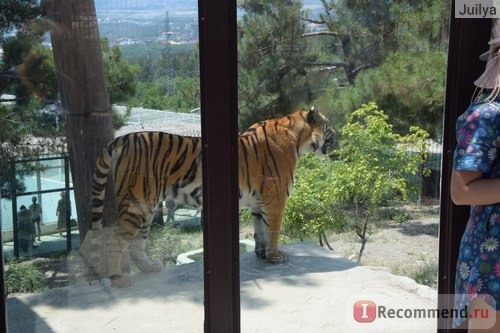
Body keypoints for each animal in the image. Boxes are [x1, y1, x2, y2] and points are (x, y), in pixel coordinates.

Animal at [82, 106, 336, 286]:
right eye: (329, 128)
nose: (338, 138)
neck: (299, 138)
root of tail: (121, 139)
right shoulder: (276, 200)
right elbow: (273, 231)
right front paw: (275, 256)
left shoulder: (258, 203)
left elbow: (260, 231)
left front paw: (262, 255)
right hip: (137, 204)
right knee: (115, 241)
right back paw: (119, 280)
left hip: (146, 206)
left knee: (136, 242)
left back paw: (149, 268)